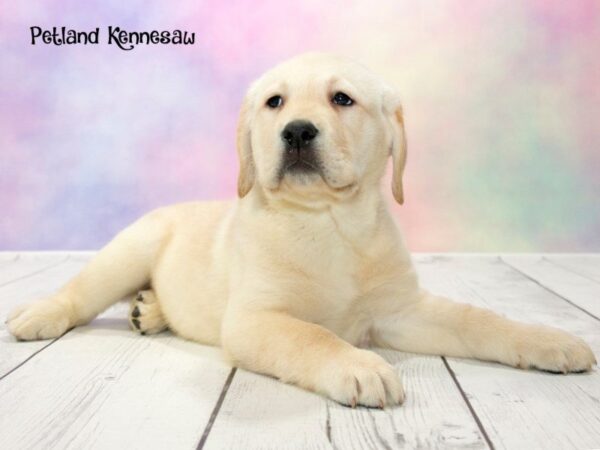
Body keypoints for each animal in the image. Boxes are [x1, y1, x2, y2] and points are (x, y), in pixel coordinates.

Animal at [8, 51, 596, 408]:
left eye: (342, 99)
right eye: (275, 102)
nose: (295, 132)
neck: (329, 224)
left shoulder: (401, 309)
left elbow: (479, 319)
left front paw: (547, 340)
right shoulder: (256, 319)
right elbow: (312, 335)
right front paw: (360, 367)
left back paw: (148, 310)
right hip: (129, 250)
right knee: (80, 291)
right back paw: (38, 314)